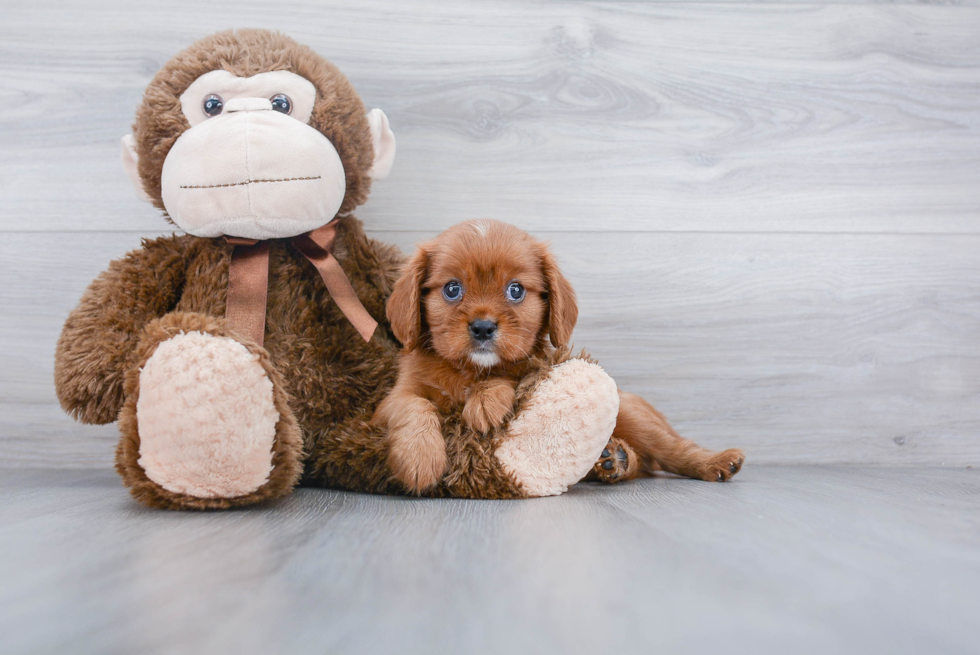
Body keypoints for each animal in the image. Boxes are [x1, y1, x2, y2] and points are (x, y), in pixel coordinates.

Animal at [376, 220, 744, 492]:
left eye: (515, 290)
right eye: (452, 289)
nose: (482, 328)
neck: (471, 372)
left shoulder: (534, 371)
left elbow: (509, 375)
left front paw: (486, 400)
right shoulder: (390, 402)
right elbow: (414, 405)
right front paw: (420, 457)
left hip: (631, 413)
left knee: (669, 450)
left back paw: (714, 461)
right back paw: (614, 459)